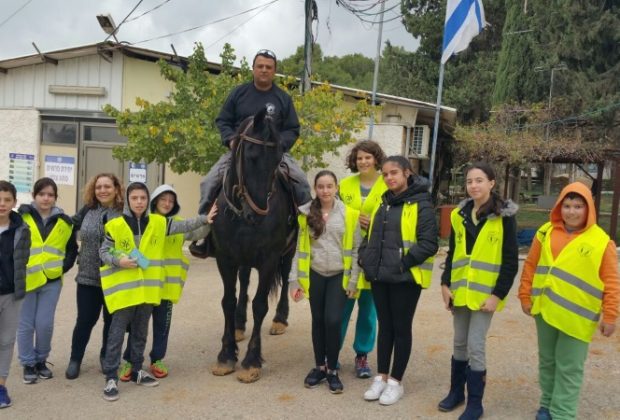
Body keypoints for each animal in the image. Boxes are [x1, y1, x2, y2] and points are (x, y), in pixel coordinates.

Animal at [211, 109, 296, 384]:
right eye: (251, 156)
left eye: (278, 158)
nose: (257, 215)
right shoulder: (225, 258)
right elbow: (228, 300)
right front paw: (226, 354)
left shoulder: (269, 260)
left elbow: (260, 305)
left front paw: (250, 361)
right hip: (244, 259)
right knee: (245, 280)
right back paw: (239, 324)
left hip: (287, 253)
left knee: (284, 281)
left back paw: (280, 319)